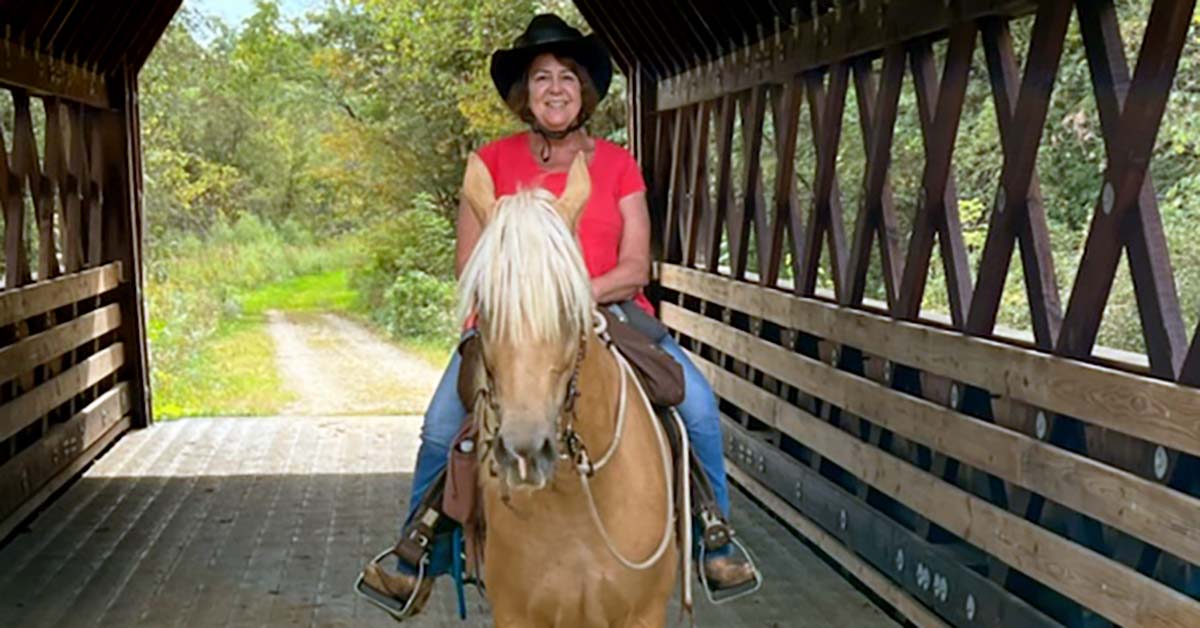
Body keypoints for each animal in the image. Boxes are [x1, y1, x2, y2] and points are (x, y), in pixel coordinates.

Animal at [458, 153, 681, 628]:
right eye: (483, 303)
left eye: (568, 306)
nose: (524, 452)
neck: (576, 507)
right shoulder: (515, 615)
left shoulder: (645, 613)